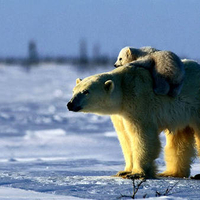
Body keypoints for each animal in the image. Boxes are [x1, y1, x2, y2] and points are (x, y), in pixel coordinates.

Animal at [67, 59, 200, 178]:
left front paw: (137, 173)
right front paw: (124, 171)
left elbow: (142, 135)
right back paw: (171, 173)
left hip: (195, 106)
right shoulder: (121, 115)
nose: (70, 104)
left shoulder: (139, 101)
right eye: (74, 91)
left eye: (86, 91)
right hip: (182, 115)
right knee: (179, 140)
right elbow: (125, 138)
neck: (123, 89)